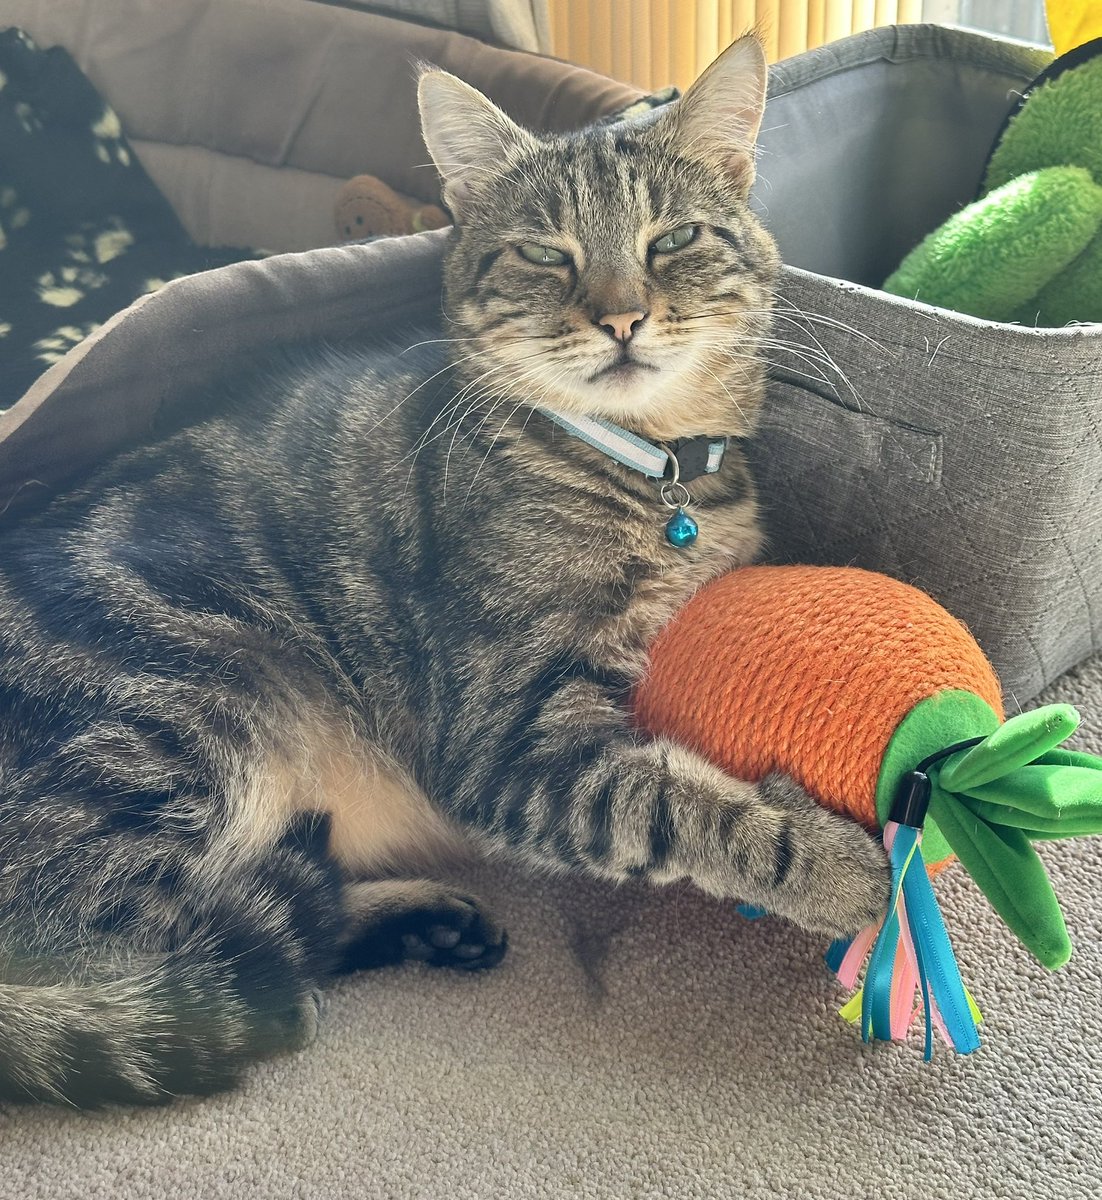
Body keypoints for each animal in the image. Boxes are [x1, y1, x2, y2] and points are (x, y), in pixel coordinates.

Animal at [0, 35, 888, 1104]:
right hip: (193, 704)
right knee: (198, 958)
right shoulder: (508, 740)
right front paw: (829, 863)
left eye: (674, 239)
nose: (623, 318)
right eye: (546, 252)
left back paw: (428, 921)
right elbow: (668, 799)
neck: (649, 468)